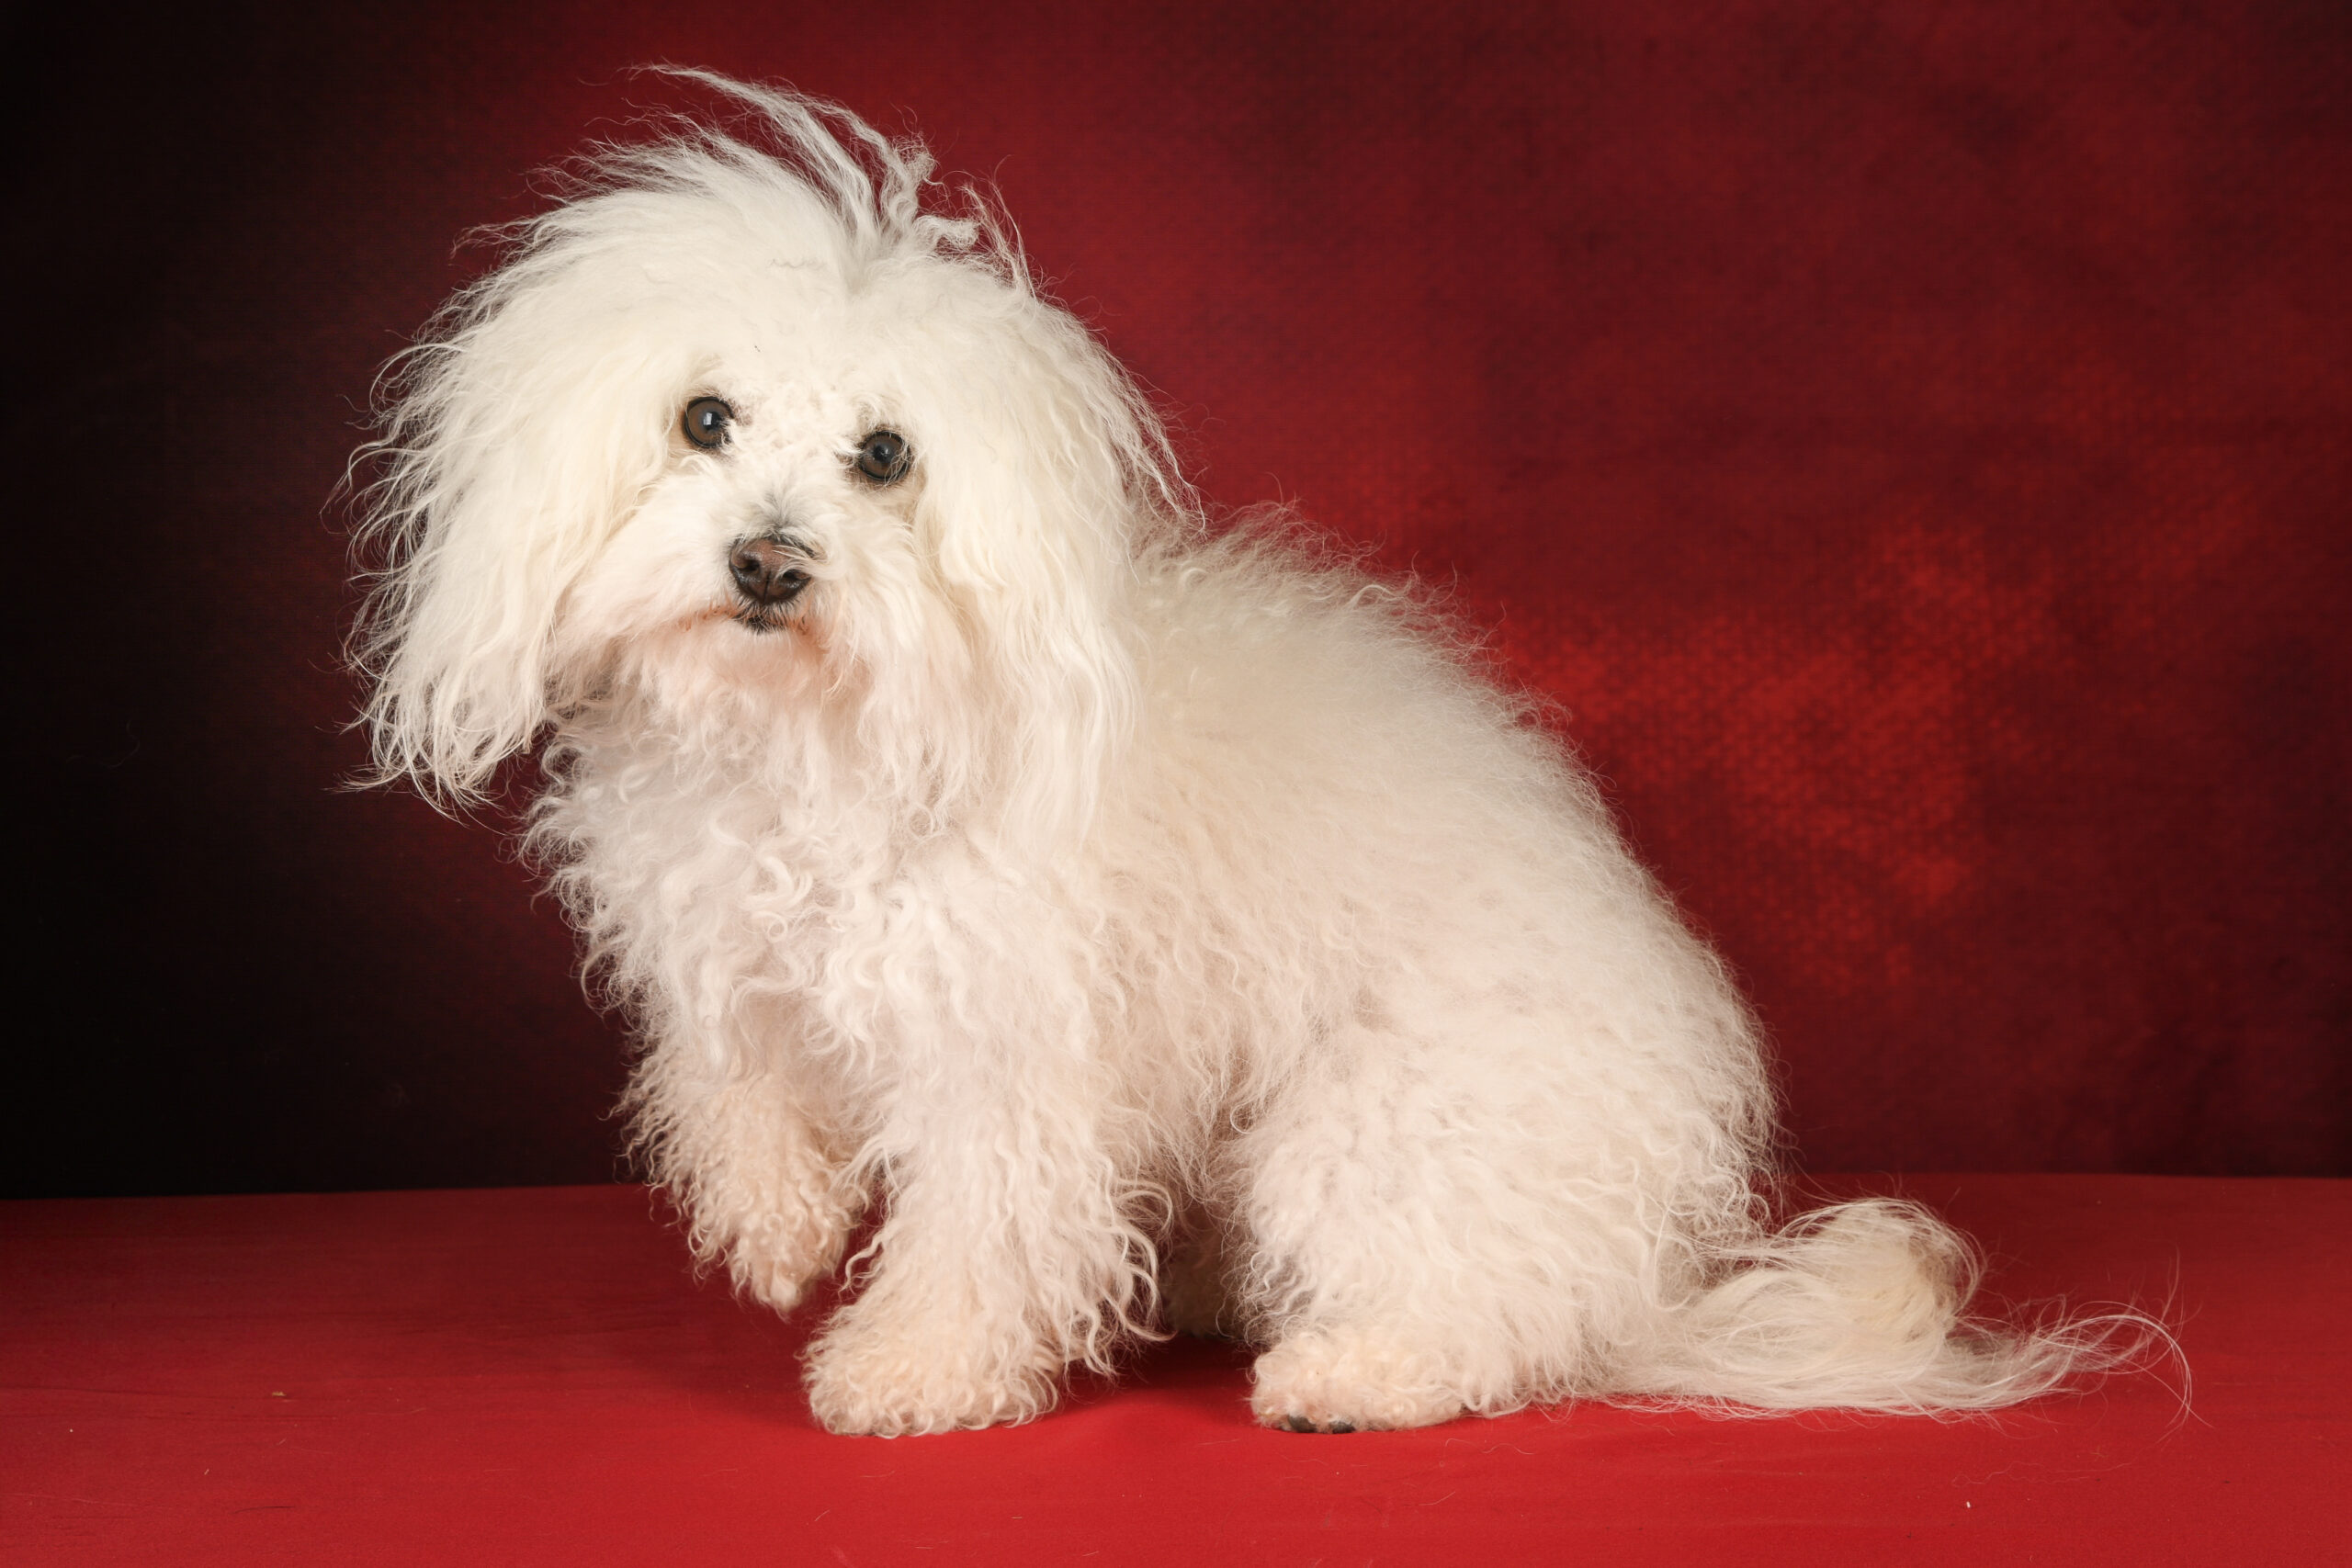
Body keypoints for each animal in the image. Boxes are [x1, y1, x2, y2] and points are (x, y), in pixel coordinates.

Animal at [353, 74, 2133, 1435]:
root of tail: (1647, 1257)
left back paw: (1354, 1372)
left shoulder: (1006, 1050)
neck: (823, 735)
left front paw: (915, 1369)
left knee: (1496, 1315)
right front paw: (776, 1226)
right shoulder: (731, 948)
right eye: (703, 419)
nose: (771, 561)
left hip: (1378, 1128)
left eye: (885, 455)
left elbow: (979, 1223)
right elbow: (732, 1083)